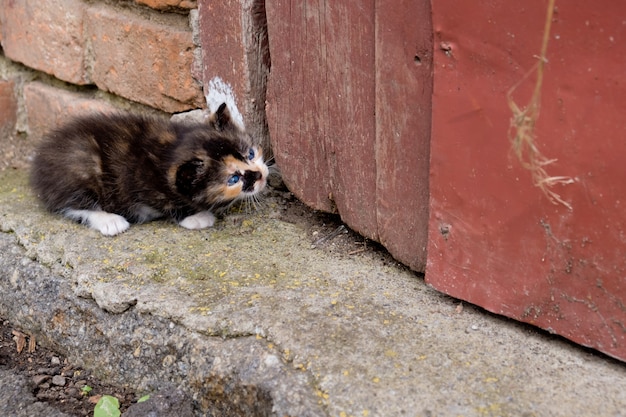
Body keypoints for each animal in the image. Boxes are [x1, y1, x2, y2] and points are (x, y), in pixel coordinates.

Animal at [30, 103, 266, 236]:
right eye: (233, 179)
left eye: (250, 154)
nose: (261, 176)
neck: (170, 151)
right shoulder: (142, 184)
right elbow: (170, 203)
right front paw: (196, 216)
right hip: (82, 161)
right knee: (69, 203)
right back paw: (109, 220)